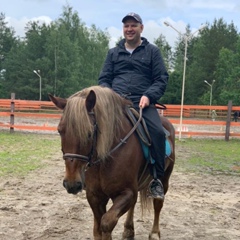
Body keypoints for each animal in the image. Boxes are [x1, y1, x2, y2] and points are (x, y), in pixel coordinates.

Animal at [49, 86, 175, 240]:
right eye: (60, 131)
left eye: (89, 133)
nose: (71, 184)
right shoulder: (95, 195)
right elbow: (98, 228)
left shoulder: (126, 193)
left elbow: (106, 223)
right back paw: (128, 230)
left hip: (164, 179)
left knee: (158, 205)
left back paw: (155, 233)